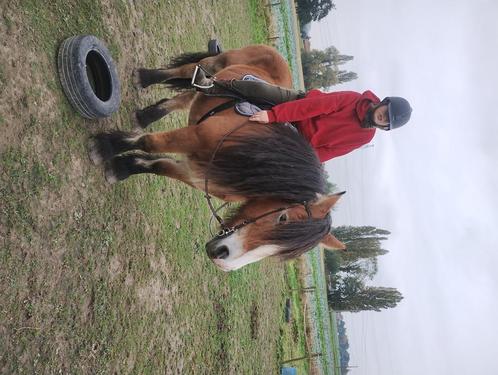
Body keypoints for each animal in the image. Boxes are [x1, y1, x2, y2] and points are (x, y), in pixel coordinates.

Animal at [88, 45, 346, 272]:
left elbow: (158, 165)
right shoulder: (192, 137)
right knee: (186, 71)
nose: (222, 258)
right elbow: (149, 143)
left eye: (284, 251)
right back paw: (146, 77)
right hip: (216, 63)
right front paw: (106, 147)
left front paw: (122, 167)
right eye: (282, 217)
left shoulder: (195, 173)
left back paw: (147, 115)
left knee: (185, 98)